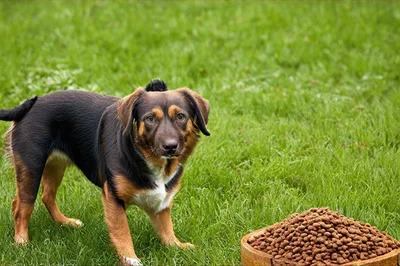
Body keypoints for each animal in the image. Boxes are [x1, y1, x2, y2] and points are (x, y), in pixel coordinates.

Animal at [0, 79, 211, 266]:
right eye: (150, 118)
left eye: (180, 116)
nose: (170, 146)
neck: (144, 157)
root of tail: (30, 105)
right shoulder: (113, 197)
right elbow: (122, 232)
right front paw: (130, 259)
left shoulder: (161, 202)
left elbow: (166, 229)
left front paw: (176, 246)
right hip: (32, 167)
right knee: (23, 207)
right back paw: (21, 243)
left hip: (55, 166)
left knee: (45, 196)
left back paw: (65, 222)